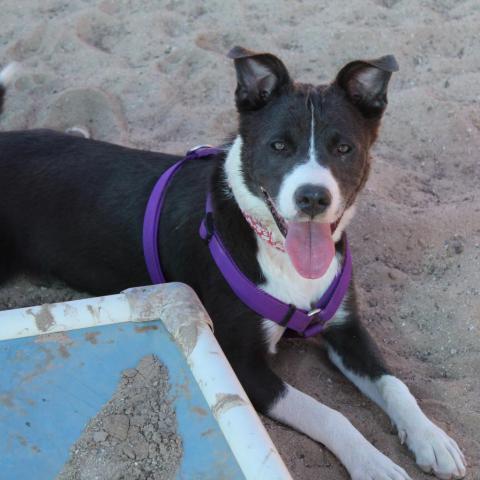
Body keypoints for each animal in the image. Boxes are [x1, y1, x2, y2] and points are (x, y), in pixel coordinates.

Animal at [0, 49, 464, 480]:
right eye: (278, 145)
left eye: (344, 148)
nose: (313, 197)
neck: (276, 249)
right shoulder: (242, 364)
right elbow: (331, 414)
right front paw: (374, 462)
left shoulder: (346, 328)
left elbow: (395, 384)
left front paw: (432, 438)